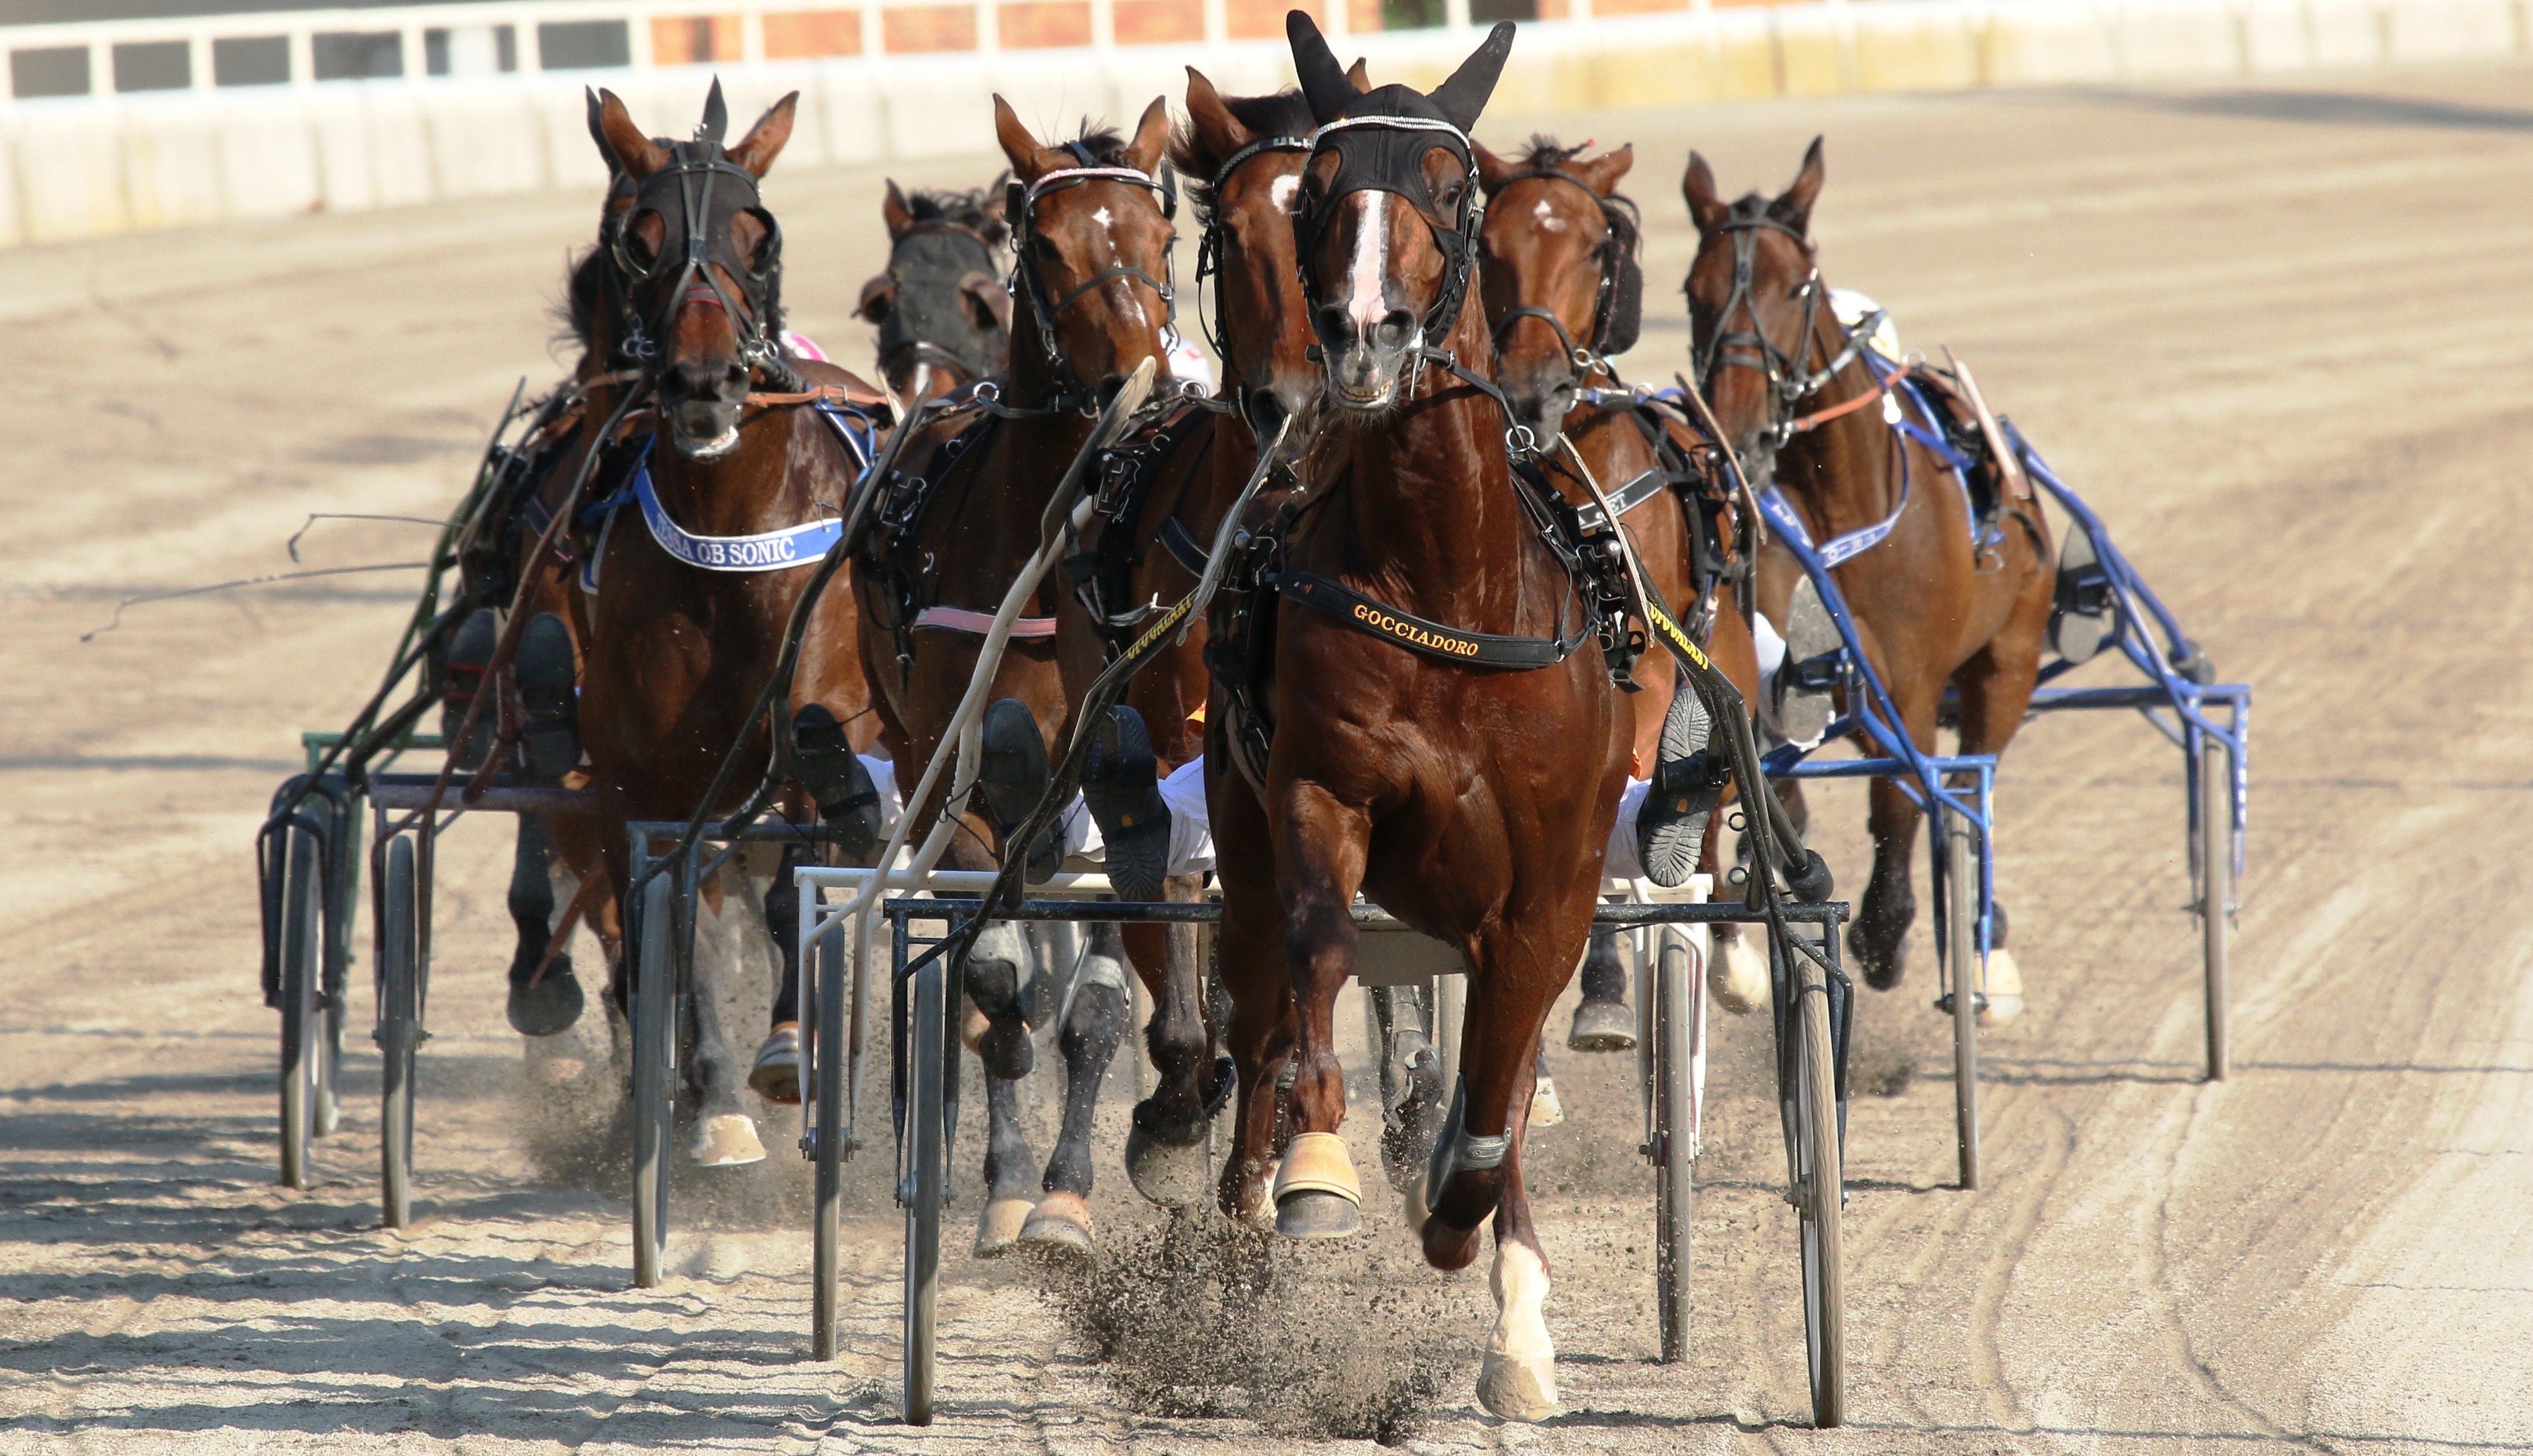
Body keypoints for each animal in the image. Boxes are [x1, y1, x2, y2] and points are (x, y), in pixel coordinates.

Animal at [1200, 14, 1621, 1428]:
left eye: (1452, 186)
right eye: (1321, 190)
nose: (1367, 335)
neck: (1450, 574)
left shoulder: (1551, 880)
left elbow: (1501, 1080)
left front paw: (1476, 1235)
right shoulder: (1318, 791)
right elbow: (1321, 958)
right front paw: (1321, 1165)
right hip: (1242, 835)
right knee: (1262, 1004)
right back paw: (1244, 1225)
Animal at [1692, 142, 2046, 1013]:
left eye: (1795, 287)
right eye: (1693, 290)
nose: (1739, 429)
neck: (1845, 514)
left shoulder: (1911, 687)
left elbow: (1900, 805)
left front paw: (1884, 934)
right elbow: (1757, 777)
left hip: (2008, 663)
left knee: (1973, 781)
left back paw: (1986, 942)